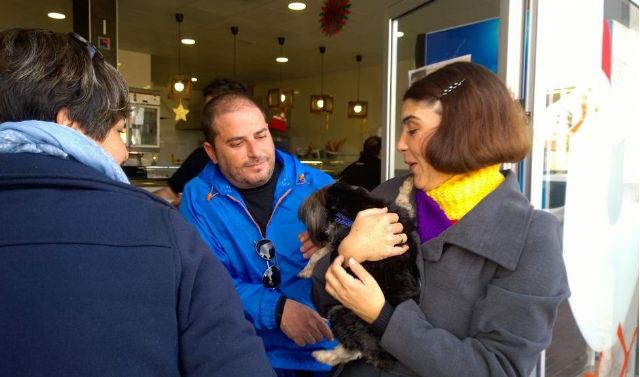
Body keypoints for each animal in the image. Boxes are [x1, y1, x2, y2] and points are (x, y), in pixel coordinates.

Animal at [298, 179, 420, 368]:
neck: (356, 202)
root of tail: (385, 353)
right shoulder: (401, 217)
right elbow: (404, 202)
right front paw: (408, 183)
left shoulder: (337, 243)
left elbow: (318, 254)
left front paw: (306, 270)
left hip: (339, 313)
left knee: (354, 351)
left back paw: (323, 356)